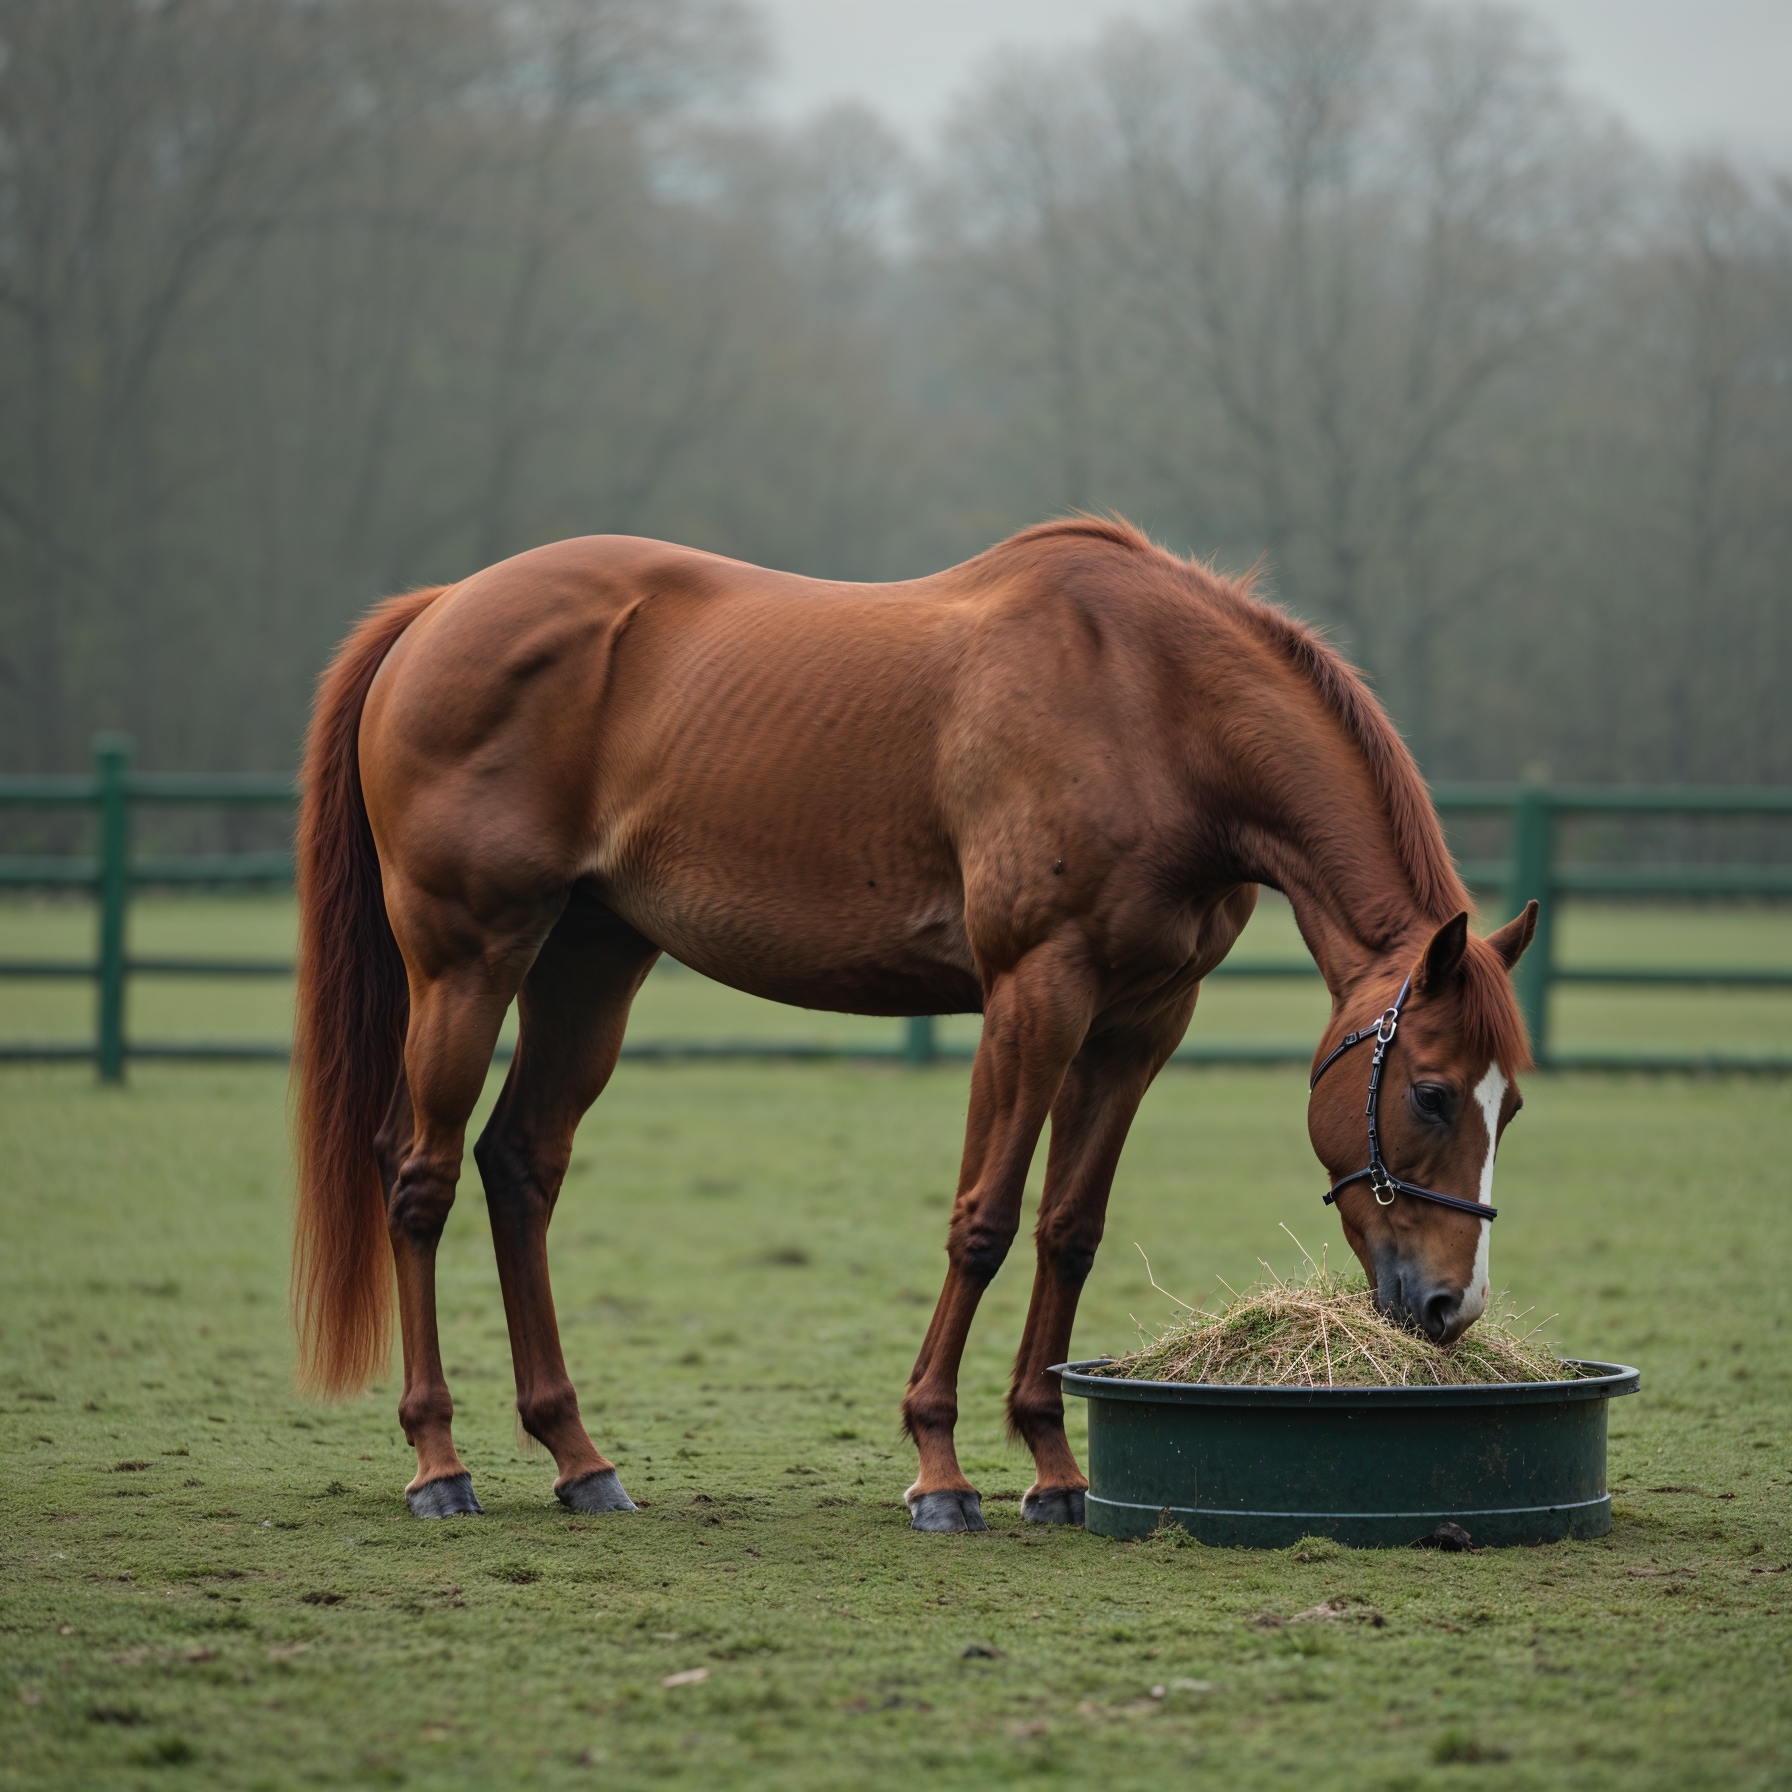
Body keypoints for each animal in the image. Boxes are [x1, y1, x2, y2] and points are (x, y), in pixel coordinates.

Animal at [291, 516, 1537, 1531]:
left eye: (1508, 1105)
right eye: (1430, 1093)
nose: (1450, 1304)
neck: (1151, 705)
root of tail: (439, 609)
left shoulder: (1137, 1023)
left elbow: (1067, 1230)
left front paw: (1053, 1467)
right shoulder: (1034, 996)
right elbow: (982, 1222)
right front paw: (940, 1467)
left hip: (590, 965)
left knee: (520, 1165)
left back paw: (577, 1456)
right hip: (467, 964)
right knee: (419, 1177)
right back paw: (438, 1463)